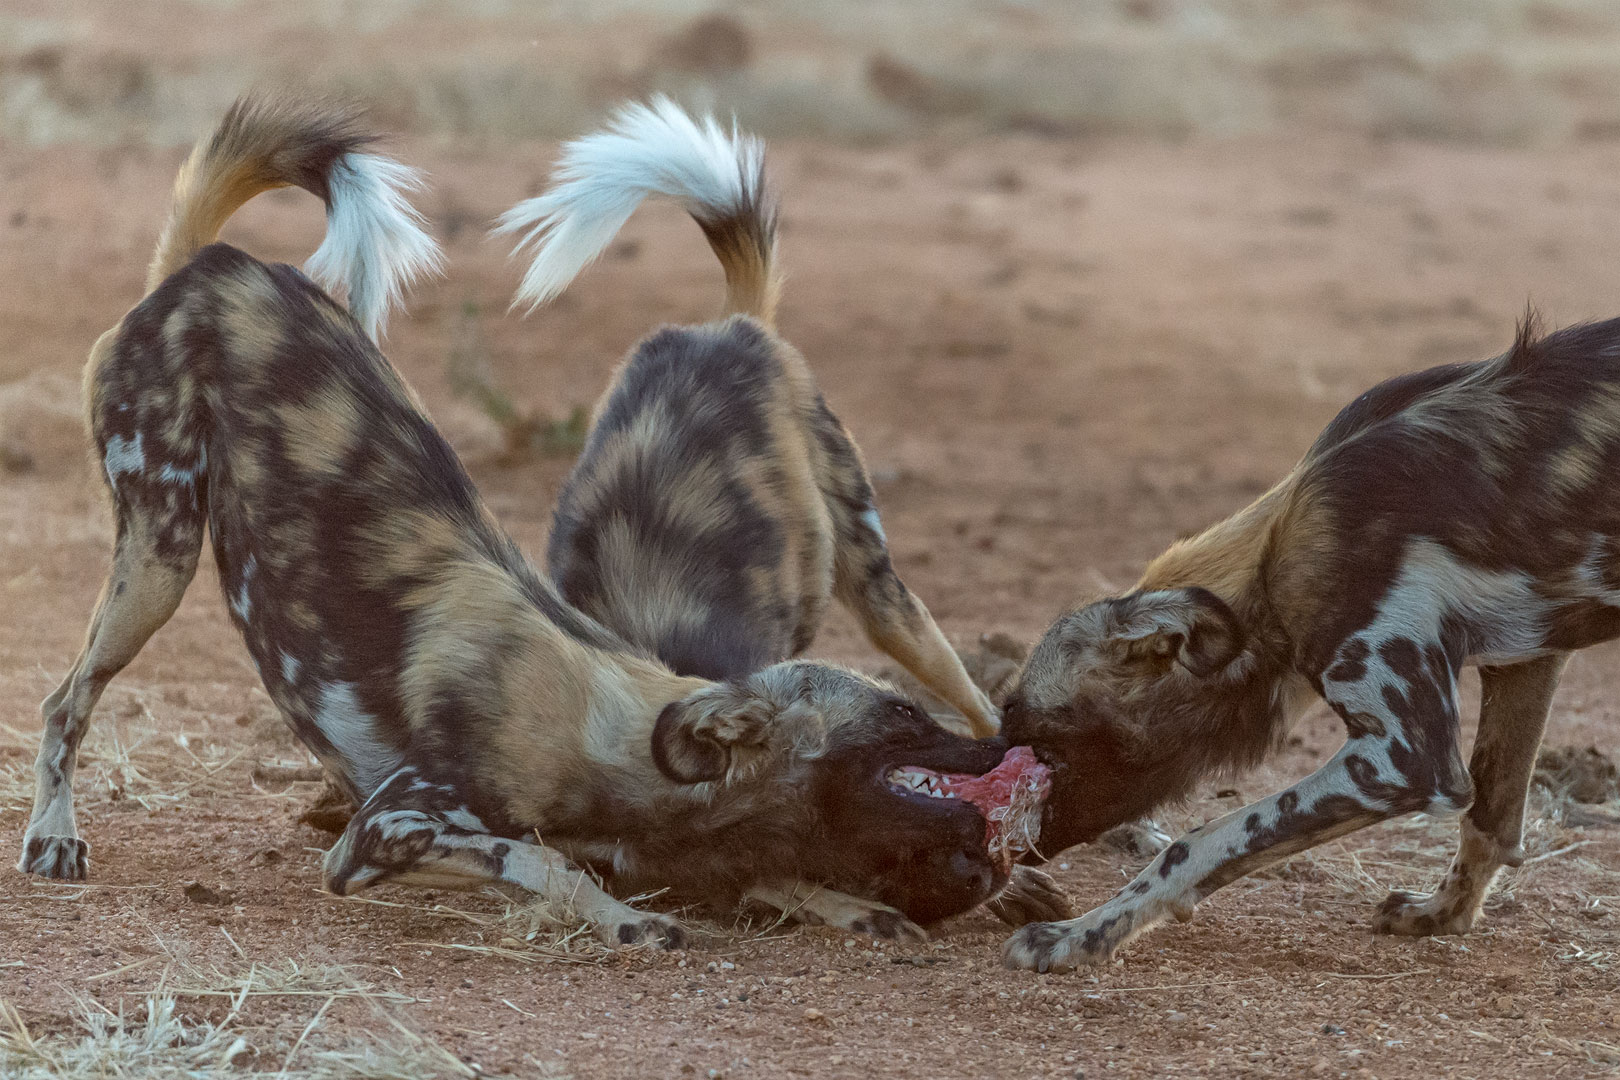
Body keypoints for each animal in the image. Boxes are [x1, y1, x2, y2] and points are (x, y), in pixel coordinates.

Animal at [997, 310, 1620, 971]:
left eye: (1032, 731)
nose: (994, 837)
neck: (1274, 566)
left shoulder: (1404, 759)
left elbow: (1197, 843)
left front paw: (1080, 936)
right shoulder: (1527, 660)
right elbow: (1491, 822)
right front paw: (1443, 915)